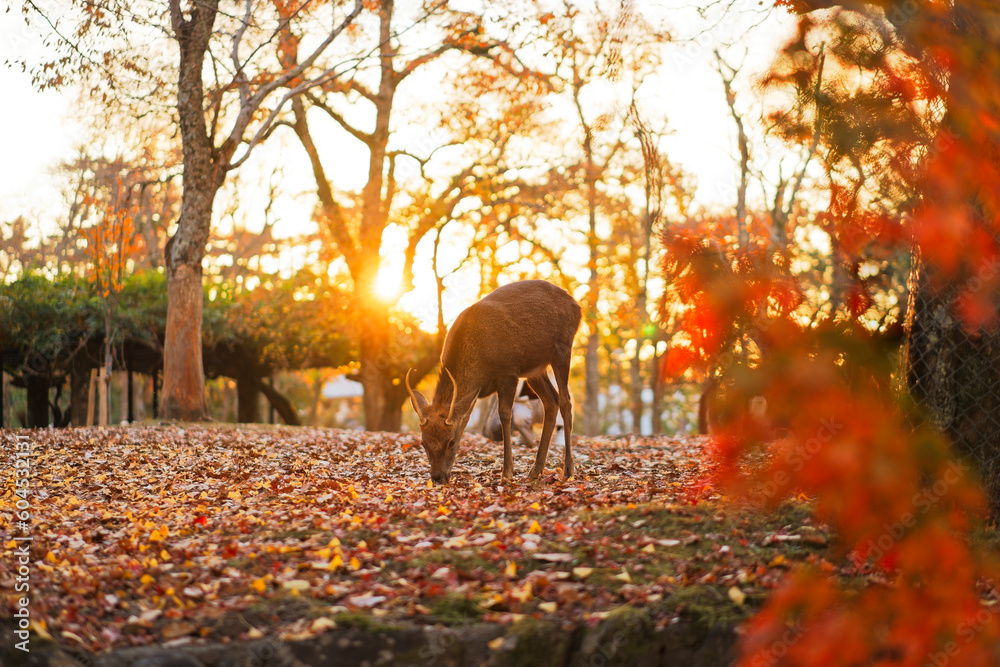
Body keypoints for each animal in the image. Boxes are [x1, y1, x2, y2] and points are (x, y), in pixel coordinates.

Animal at [405, 280, 582, 484]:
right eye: (423, 442)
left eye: (451, 441)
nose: (437, 477)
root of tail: (577, 306)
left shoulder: (508, 372)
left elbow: (504, 415)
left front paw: (507, 472)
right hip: (535, 370)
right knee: (551, 401)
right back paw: (536, 470)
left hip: (562, 347)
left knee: (565, 401)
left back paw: (568, 469)